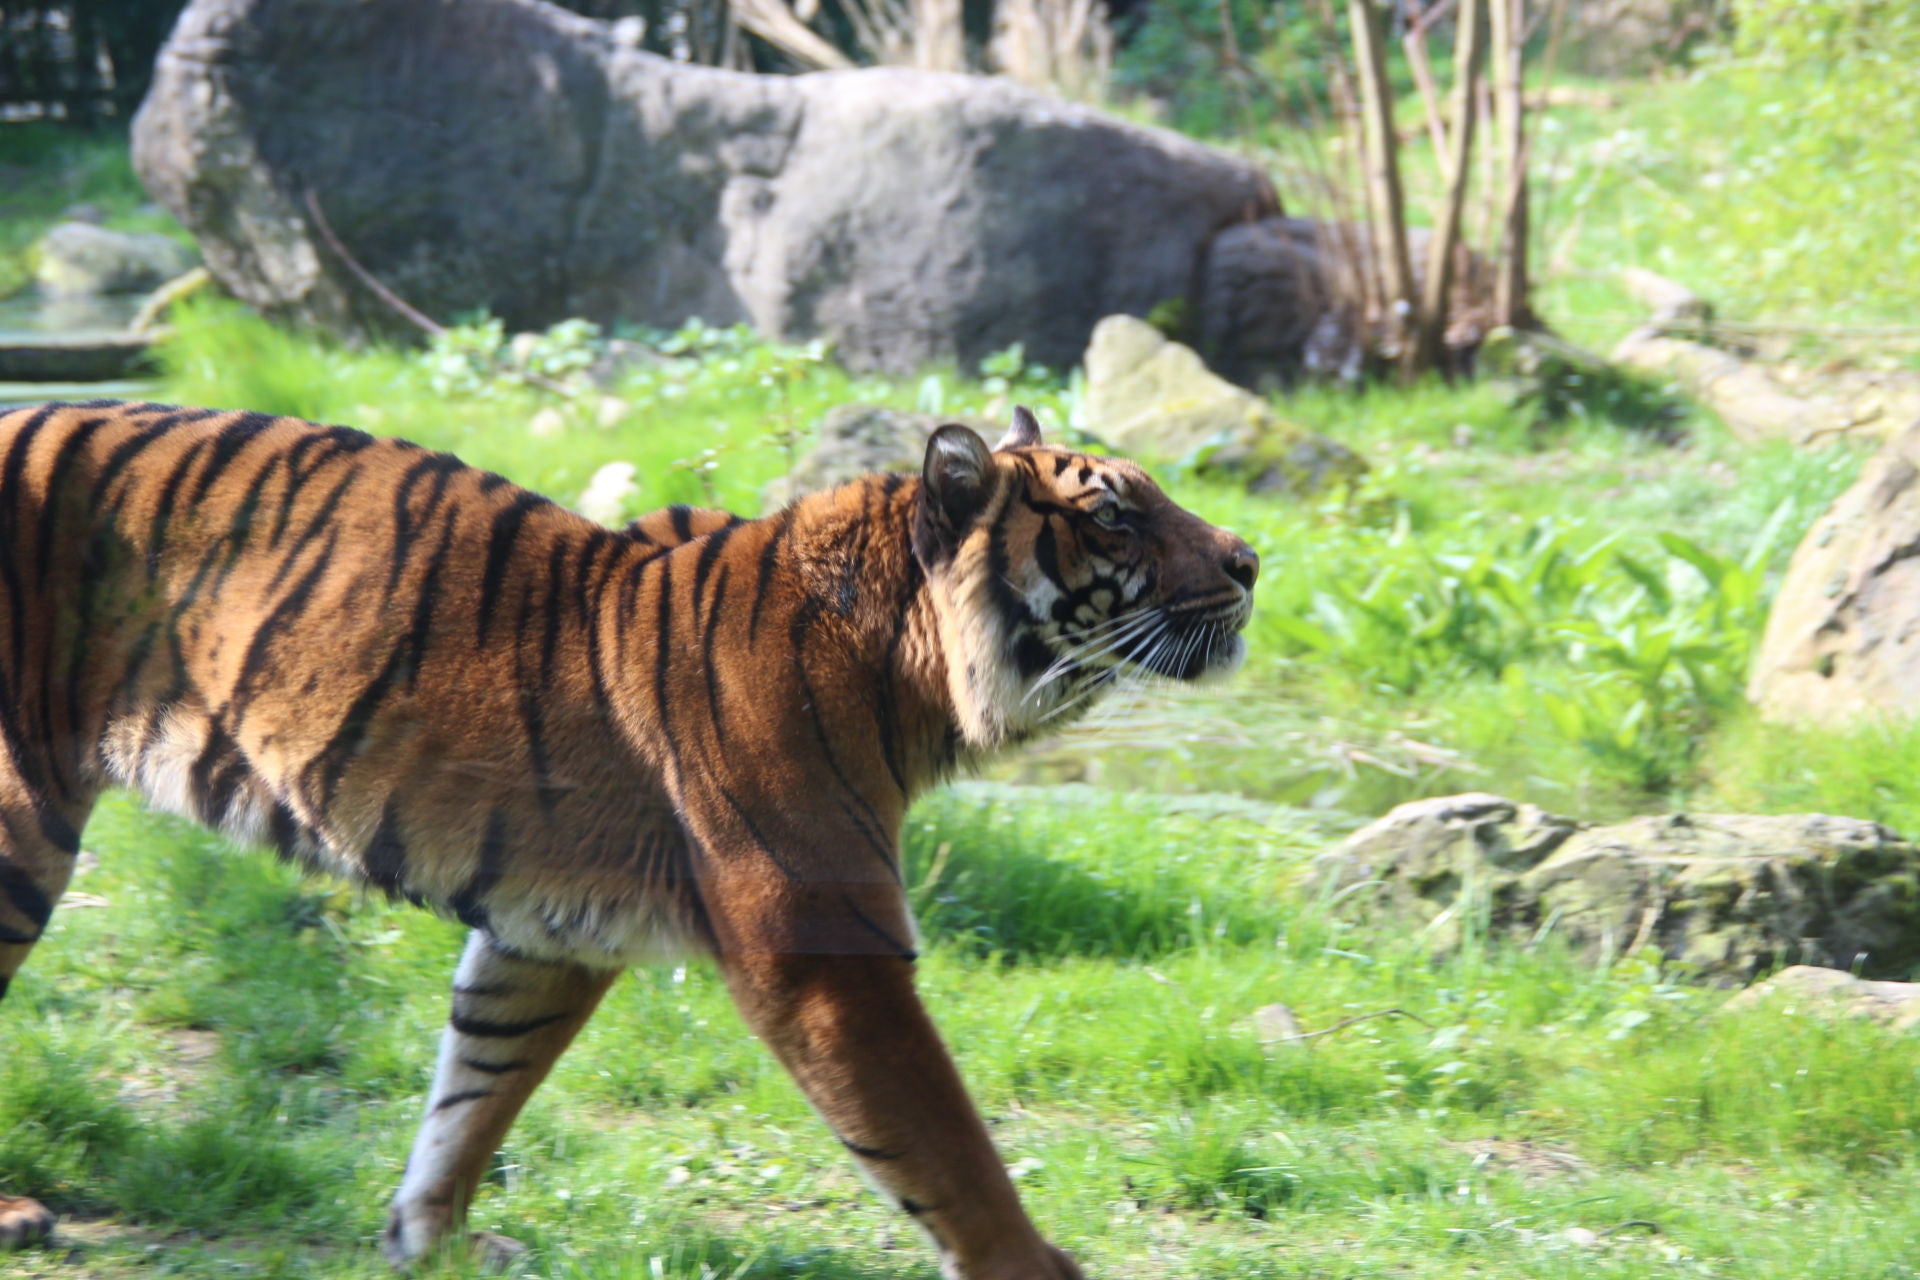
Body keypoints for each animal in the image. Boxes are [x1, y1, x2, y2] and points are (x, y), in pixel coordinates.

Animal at [0, 398, 1258, 1277]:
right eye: (1114, 514)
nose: (1251, 559)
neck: (910, 670)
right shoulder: (826, 947)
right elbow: (943, 1142)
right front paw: (1028, 1263)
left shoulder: (545, 934)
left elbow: (476, 1085)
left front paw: (428, 1234)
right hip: (17, 823)